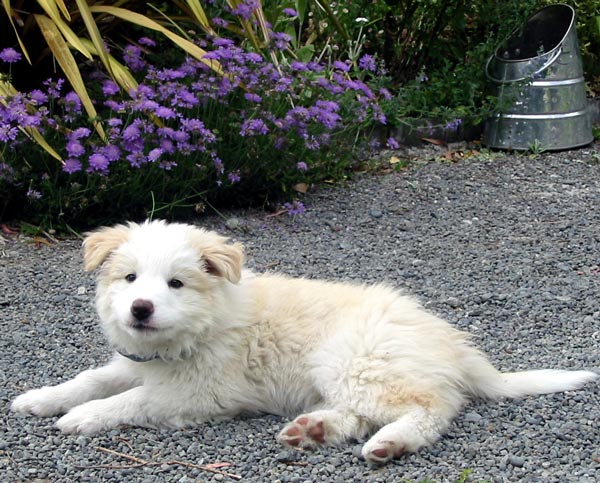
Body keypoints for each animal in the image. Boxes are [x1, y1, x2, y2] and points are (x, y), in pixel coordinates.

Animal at [11, 220, 596, 466]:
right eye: (130, 279)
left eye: (176, 284)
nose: (140, 309)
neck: (197, 330)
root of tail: (456, 349)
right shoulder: (138, 360)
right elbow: (93, 377)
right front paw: (41, 398)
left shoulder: (197, 393)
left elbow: (131, 400)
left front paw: (83, 418)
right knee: (358, 413)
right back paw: (312, 430)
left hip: (353, 359)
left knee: (432, 407)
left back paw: (389, 444)